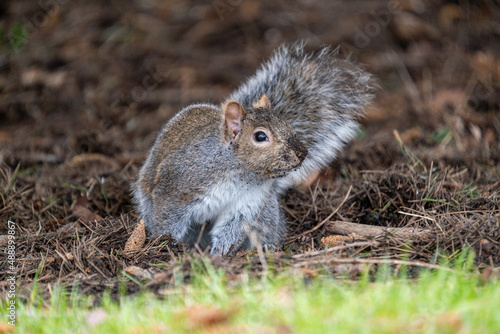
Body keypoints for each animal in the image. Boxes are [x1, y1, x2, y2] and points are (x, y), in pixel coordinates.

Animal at [131, 43, 374, 254]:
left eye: (287, 124)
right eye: (260, 136)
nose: (302, 153)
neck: (238, 171)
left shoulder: (247, 204)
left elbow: (231, 229)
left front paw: (219, 255)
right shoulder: (178, 189)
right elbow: (167, 219)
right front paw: (167, 245)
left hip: (267, 211)